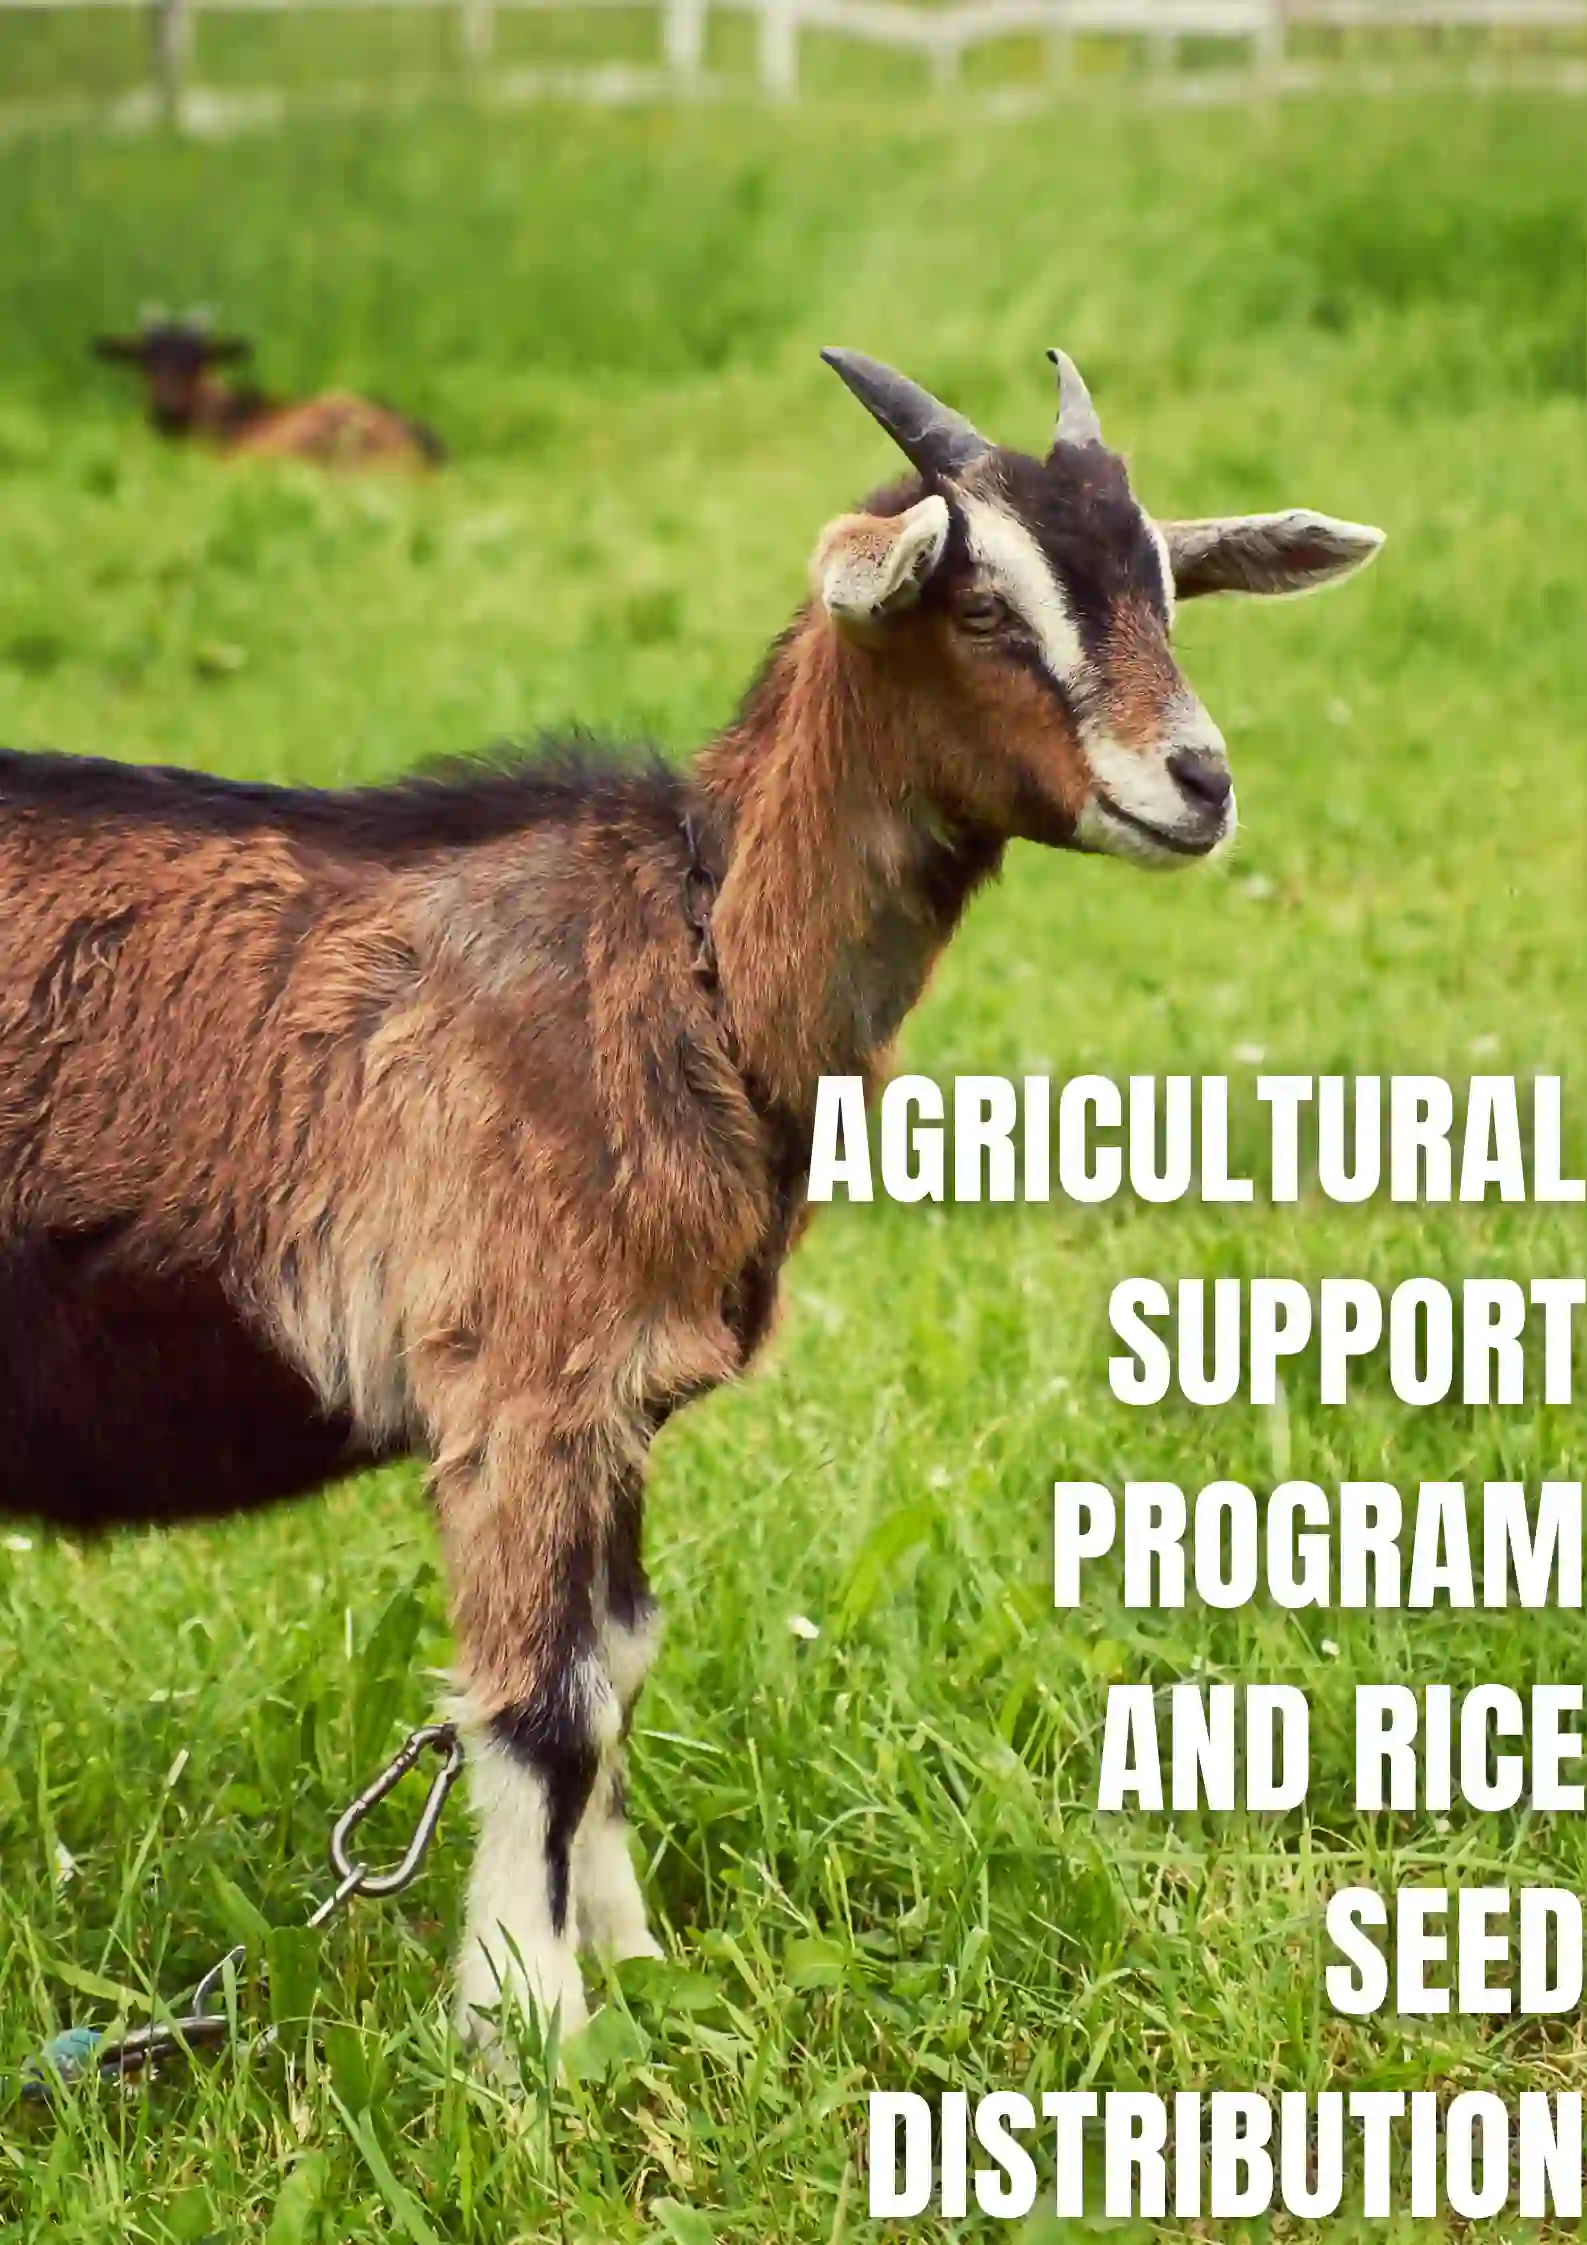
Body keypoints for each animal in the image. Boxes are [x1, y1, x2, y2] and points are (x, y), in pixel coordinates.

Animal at [0, 348, 1382, 2046]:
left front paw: (628, 1956)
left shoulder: (622, 1392)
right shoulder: (523, 1375)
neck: (687, 951)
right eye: (985, 607)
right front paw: (530, 2031)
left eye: (1162, 592)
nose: (1196, 783)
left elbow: (618, 1660)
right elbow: (541, 1701)